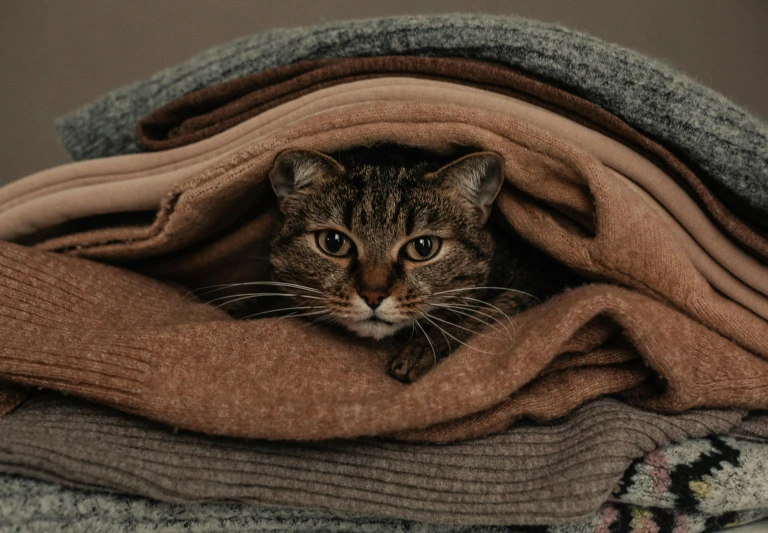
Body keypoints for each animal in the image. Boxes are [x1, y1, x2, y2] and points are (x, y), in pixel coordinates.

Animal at [237, 143, 580, 380]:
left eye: (423, 248)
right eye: (333, 243)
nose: (373, 295)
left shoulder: (535, 278)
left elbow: (485, 314)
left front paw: (421, 350)